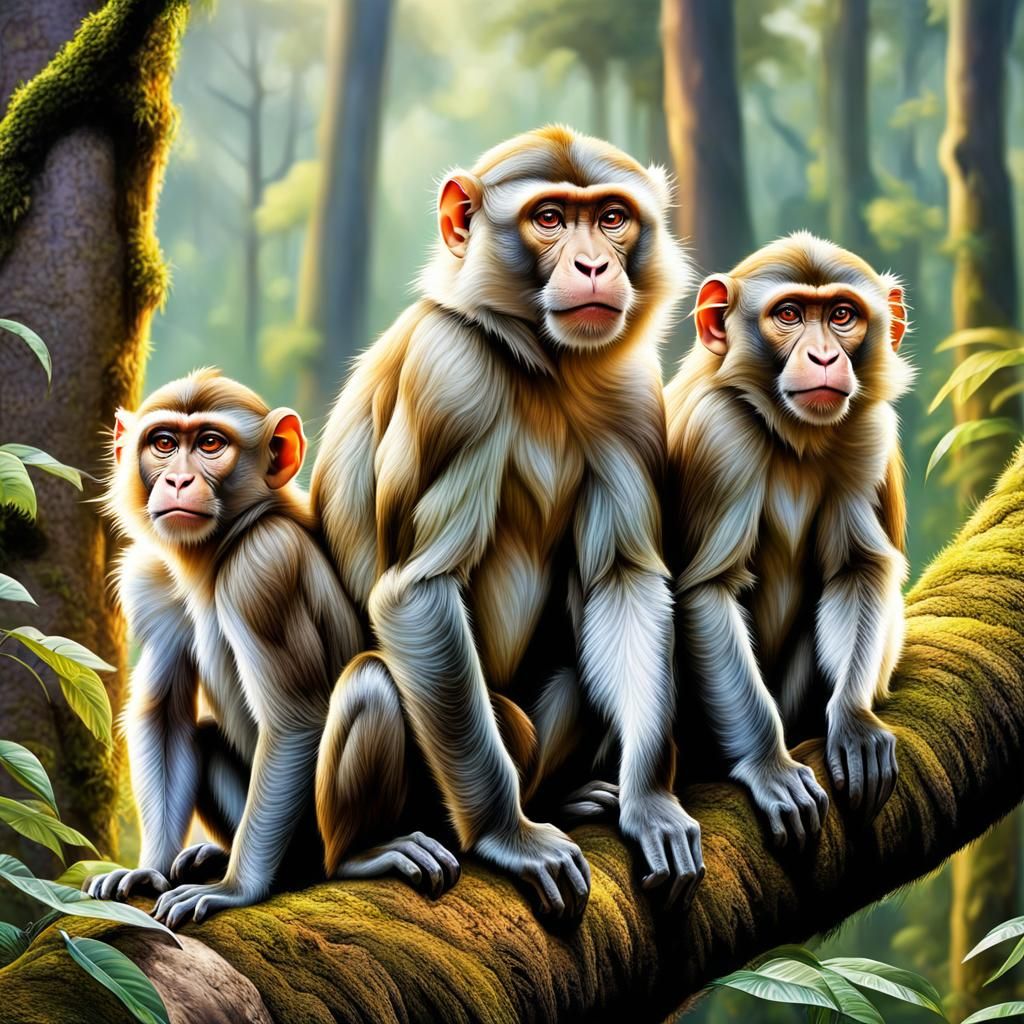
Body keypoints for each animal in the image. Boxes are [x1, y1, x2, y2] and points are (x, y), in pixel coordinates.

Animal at [84, 368, 374, 928]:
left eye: (211, 444)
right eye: (164, 443)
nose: (177, 481)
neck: (213, 557)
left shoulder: (264, 565)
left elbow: (295, 721)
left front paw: (237, 890)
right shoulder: (150, 577)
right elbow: (165, 714)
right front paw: (148, 869)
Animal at [310, 125, 704, 919]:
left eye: (611, 218)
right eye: (548, 218)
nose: (593, 265)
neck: (546, 367)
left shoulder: (630, 392)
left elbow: (622, 580)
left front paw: (650, 798)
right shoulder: (450, 376)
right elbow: (416, 593)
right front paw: (507, 834)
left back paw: (566, 793)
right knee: (375, 683)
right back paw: (370, 850)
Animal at [665, 232, 912, 848]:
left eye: (842, 315)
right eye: (790, 315)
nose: (824, 357)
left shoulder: (869, 429)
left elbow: (858, 570)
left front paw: (853, 722)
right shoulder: (719, 433)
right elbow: (708, 590)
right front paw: (769, 765)